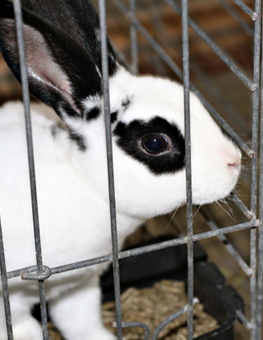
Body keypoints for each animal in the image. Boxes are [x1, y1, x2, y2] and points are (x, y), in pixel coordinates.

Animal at [0, 0, 242, 340]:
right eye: (154, 142)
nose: (235, 161)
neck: (84, 183)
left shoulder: (77, 288)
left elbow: (81, 322)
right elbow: (22, 327)